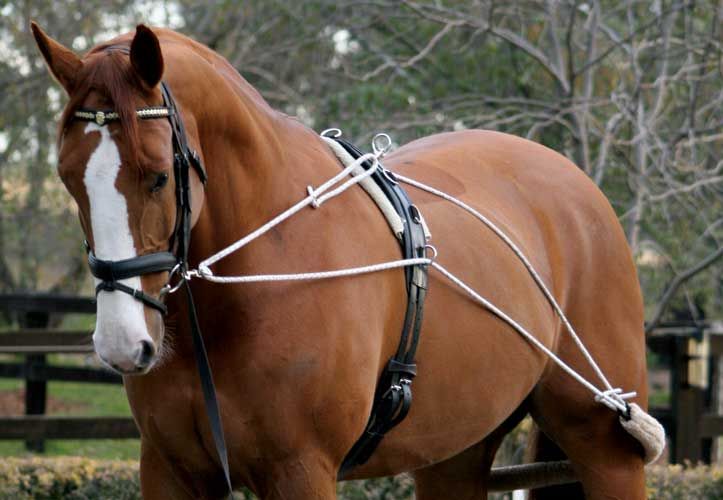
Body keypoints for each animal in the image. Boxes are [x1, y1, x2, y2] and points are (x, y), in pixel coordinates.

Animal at [32, 23, 651, 499]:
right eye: (67, 177)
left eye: (158, 176)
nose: (122, 342)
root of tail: (576, 184)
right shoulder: (170, 471)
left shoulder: (301, 471)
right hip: (454, 454)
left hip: (606, 449)